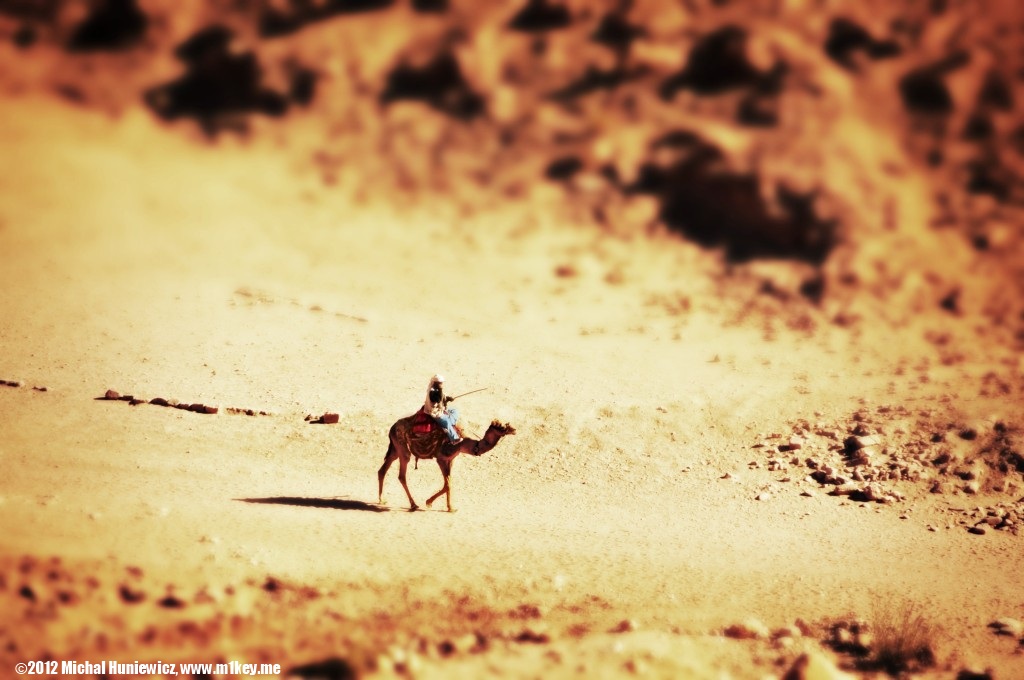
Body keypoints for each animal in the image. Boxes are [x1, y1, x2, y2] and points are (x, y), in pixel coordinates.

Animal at [377, 414, 516, 512]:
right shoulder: (441, 458)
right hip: (402, 447)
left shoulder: (451, 459)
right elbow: (448, 484)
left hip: (395, 448)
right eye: (503, 427)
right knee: (402, 474)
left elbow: (448, 483)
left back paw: (382, 500)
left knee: (382, 470)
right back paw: (413, 504)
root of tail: (392, 427)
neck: (461, 442)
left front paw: (449, 507)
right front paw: (430, 503)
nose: (514, 430)